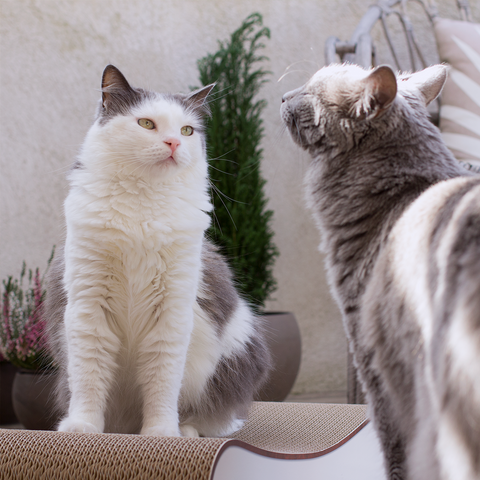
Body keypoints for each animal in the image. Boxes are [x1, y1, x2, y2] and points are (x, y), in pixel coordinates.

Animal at [46, 64, 270, 438]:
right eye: (147, 124)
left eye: (186, 130)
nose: (174, 142)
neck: (143, 201)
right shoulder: (89, 307)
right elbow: (89, 379)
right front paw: (82, 427)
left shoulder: (171, 312)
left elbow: (161, 383)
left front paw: (160, 433)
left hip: (235, 351)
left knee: (209, 416)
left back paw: (185, 431)